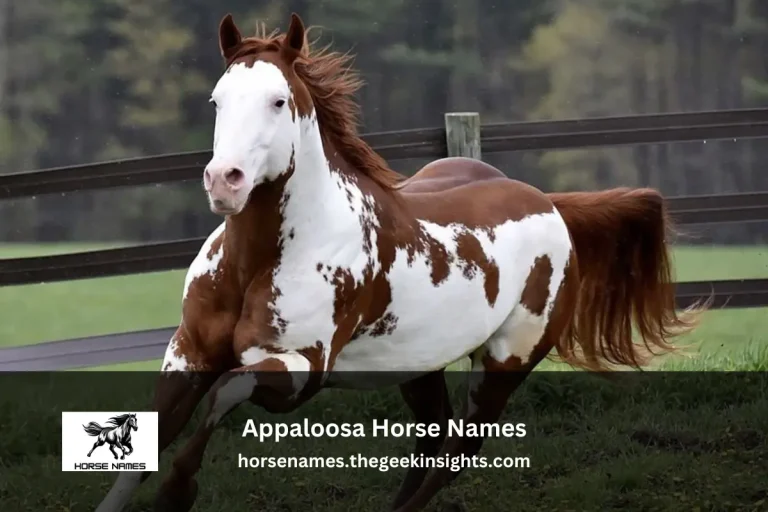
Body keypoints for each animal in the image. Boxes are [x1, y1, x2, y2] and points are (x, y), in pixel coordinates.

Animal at [96, 12, 704, 512]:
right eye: (218, 101)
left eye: (278, 101)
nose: (225, 182)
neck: (257, 262)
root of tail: (549, 203)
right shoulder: (188, 352)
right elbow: (152, 435)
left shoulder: (298, 370)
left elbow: (224, 393)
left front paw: (177, 492)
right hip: (419, 366)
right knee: (433, 442)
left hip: (506, 362)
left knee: (457, 451)